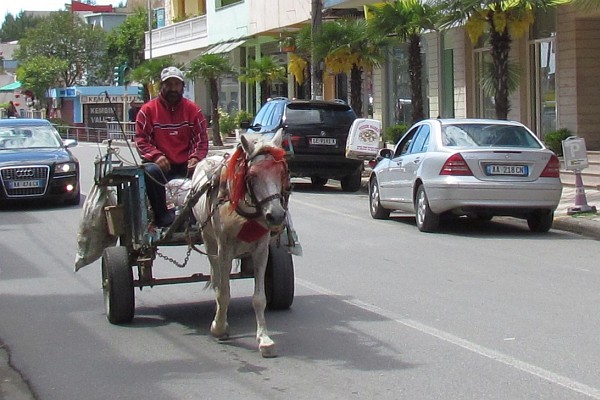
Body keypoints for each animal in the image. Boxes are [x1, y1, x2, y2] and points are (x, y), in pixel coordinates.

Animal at [190, 130, 288, 356]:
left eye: (280, 172)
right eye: (252, 176)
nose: (277, 215)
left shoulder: (261, 249)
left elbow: (259, 298)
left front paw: (264, 339)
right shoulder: (224, 248)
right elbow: (224, 292)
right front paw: (218, 327)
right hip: (208, 239)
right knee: (217, 278)